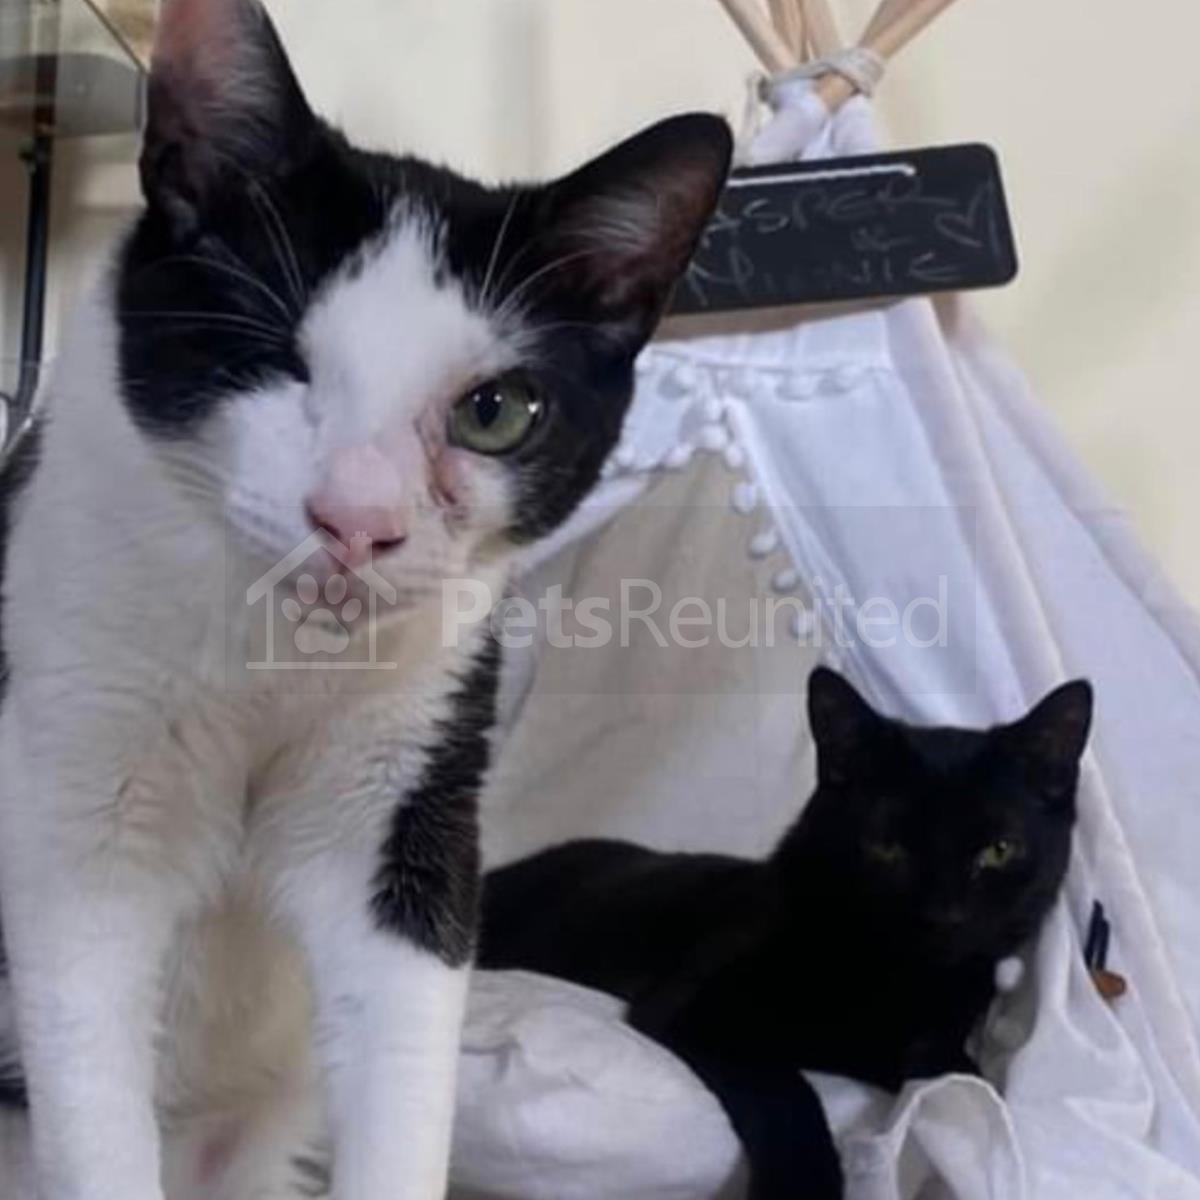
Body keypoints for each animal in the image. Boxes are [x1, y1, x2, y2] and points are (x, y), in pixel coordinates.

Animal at [0, 0, 731, 1197]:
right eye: (275, 357)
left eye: (496, 411)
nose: (355, 520)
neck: (273, 655)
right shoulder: (70, 785)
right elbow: (89, 1057)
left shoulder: (410, 791)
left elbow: (401, 1042)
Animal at [479, 666, 1094, 1200]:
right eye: (886, 847)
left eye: (999, 850)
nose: (943, 915)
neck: (892, 982)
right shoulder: (694, 1008)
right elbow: (787, 1093)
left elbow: (958, 1072)